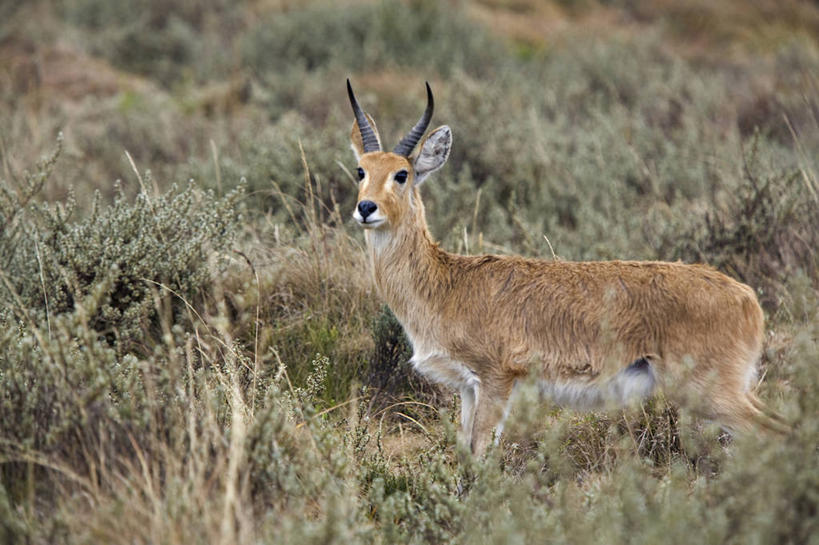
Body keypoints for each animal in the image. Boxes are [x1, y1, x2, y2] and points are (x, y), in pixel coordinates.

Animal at [346, 81, 788, 454]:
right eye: (361, 170)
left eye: (402, 174)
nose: (366, 208)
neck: (447, 284)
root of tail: (747, 296)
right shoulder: (468, 389)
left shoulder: (495, 380)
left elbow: (481, 455)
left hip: (711, 393)